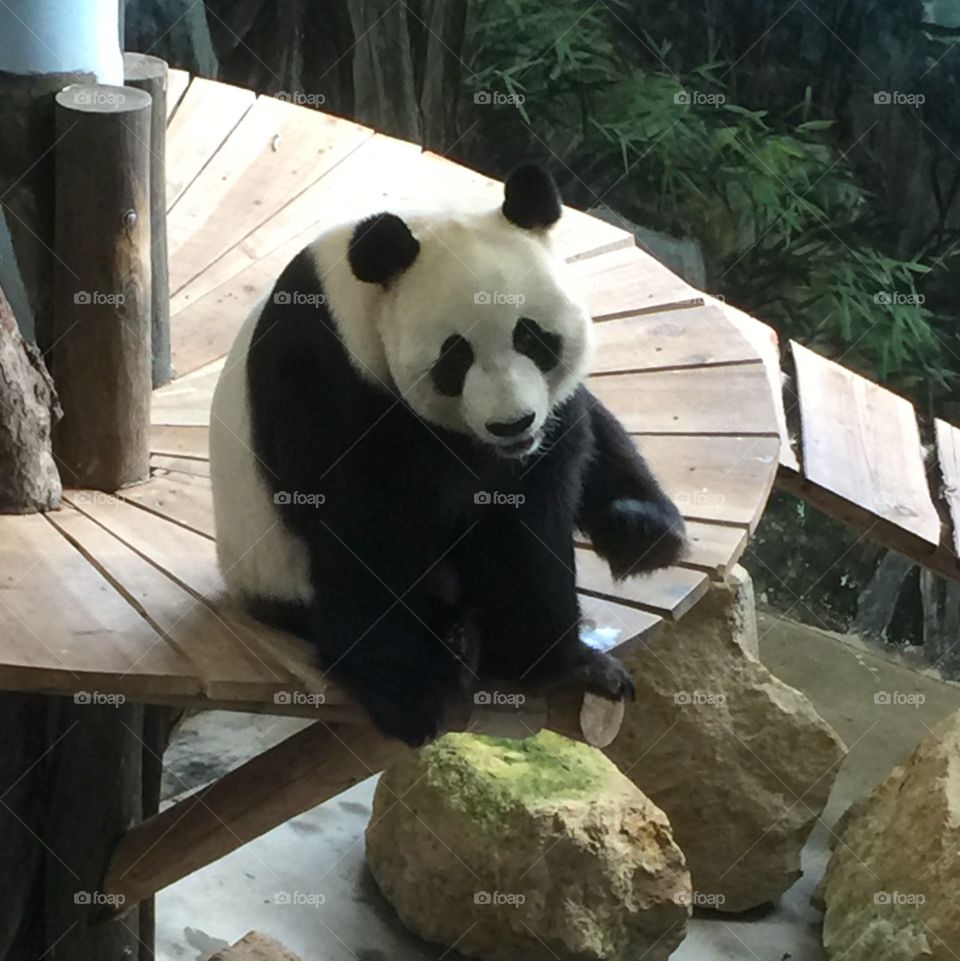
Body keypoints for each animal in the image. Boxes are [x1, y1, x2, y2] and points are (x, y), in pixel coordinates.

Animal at [209, 163, 686, 746]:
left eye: (531, 337)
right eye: (455, 356)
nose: (512, 424)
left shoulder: (541, 434)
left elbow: (530, 518)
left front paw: (558, 662)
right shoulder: (327, 375)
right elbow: (364, 528)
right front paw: (409, 699)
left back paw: (639, 530)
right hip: (272, 570)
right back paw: (454, 641)